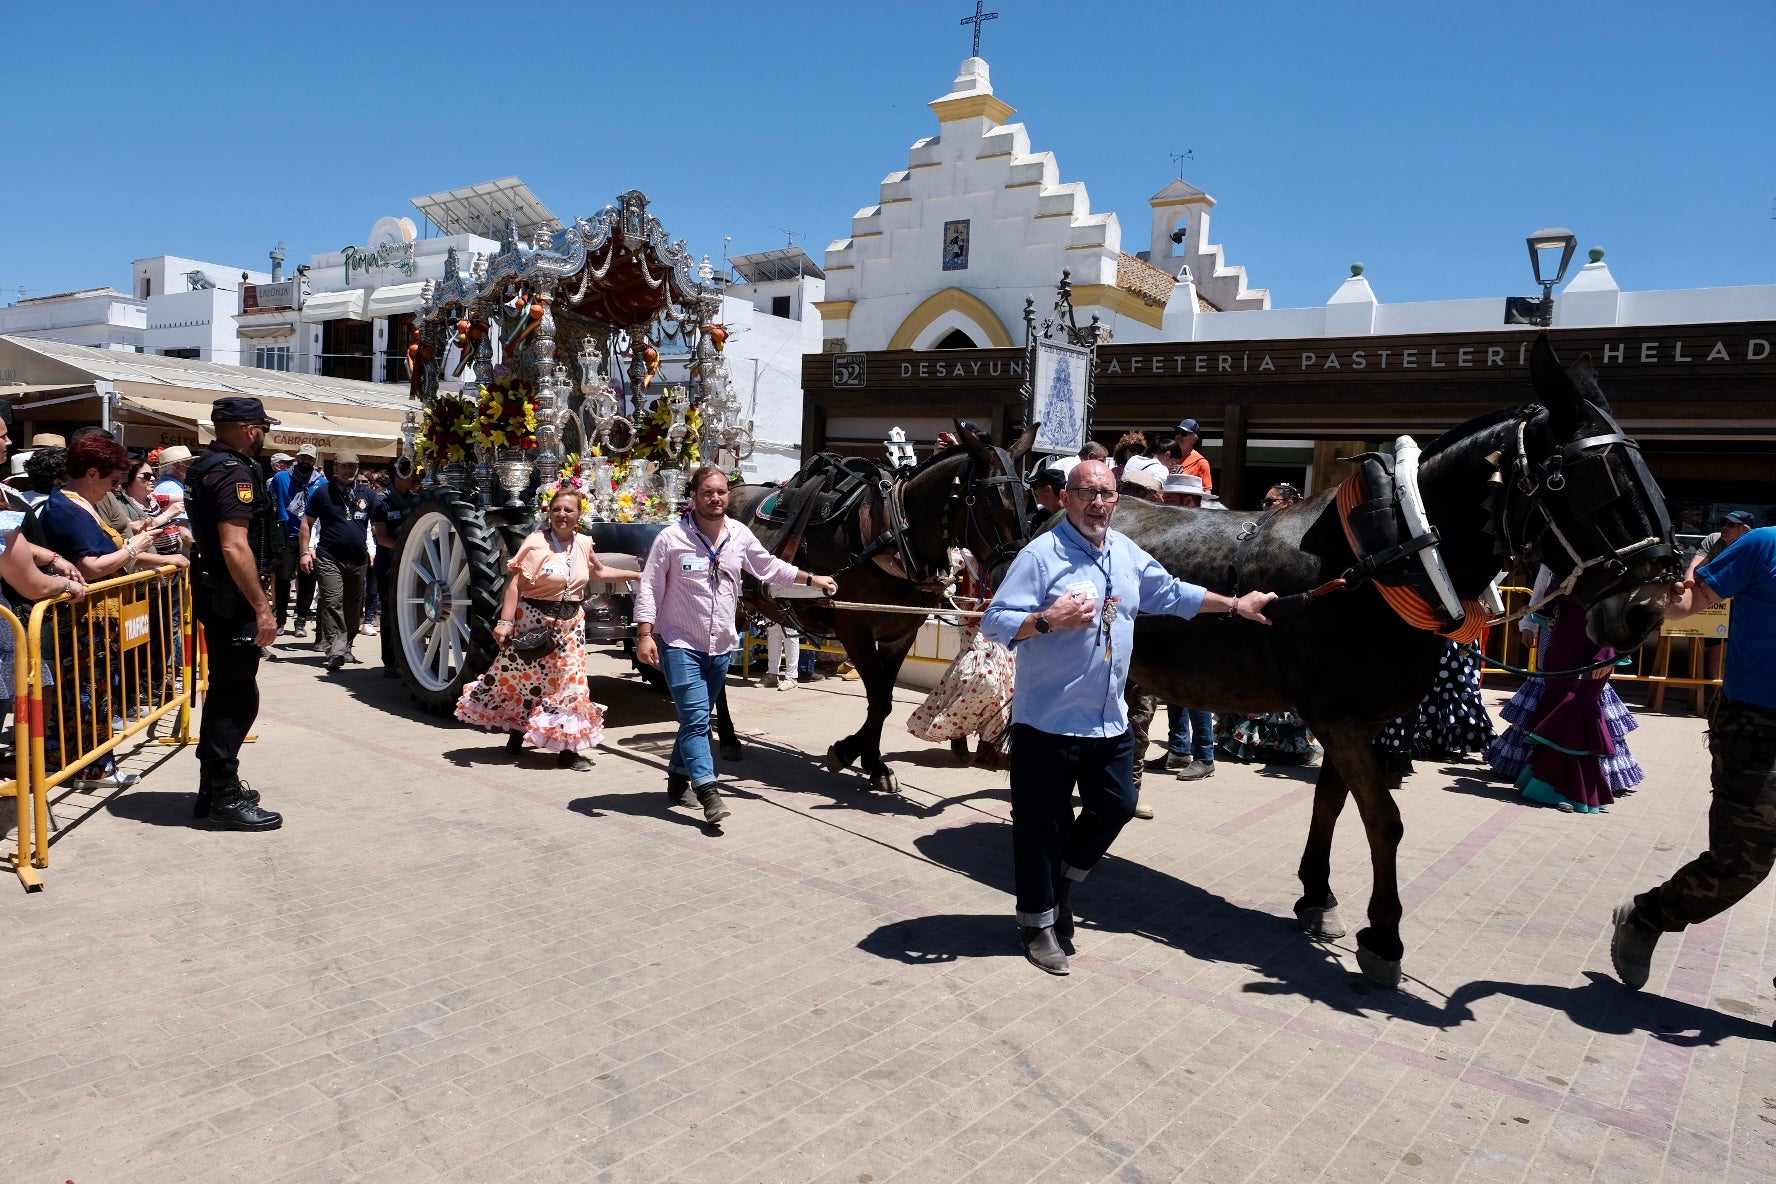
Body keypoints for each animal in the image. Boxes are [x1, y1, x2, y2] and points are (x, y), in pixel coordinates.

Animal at [724, 420, 1037, 791]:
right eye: (987, 502)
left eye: (1028, 503)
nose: (1018, 574)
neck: (894, 534)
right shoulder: (854, 629)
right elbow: (879, 698)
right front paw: (847, 751)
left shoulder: (899, 634)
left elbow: (883, 700)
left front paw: (872, 762)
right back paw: (726, 736)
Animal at [1115, 337, 1669, 986]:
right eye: (1592, 479)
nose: (1645, 611)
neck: (1383, 560)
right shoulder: (1339, 718)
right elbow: (1383, 819)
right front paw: (1383, 936)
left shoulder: (1355, 719)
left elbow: (1331, 803)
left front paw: (1317, 896)